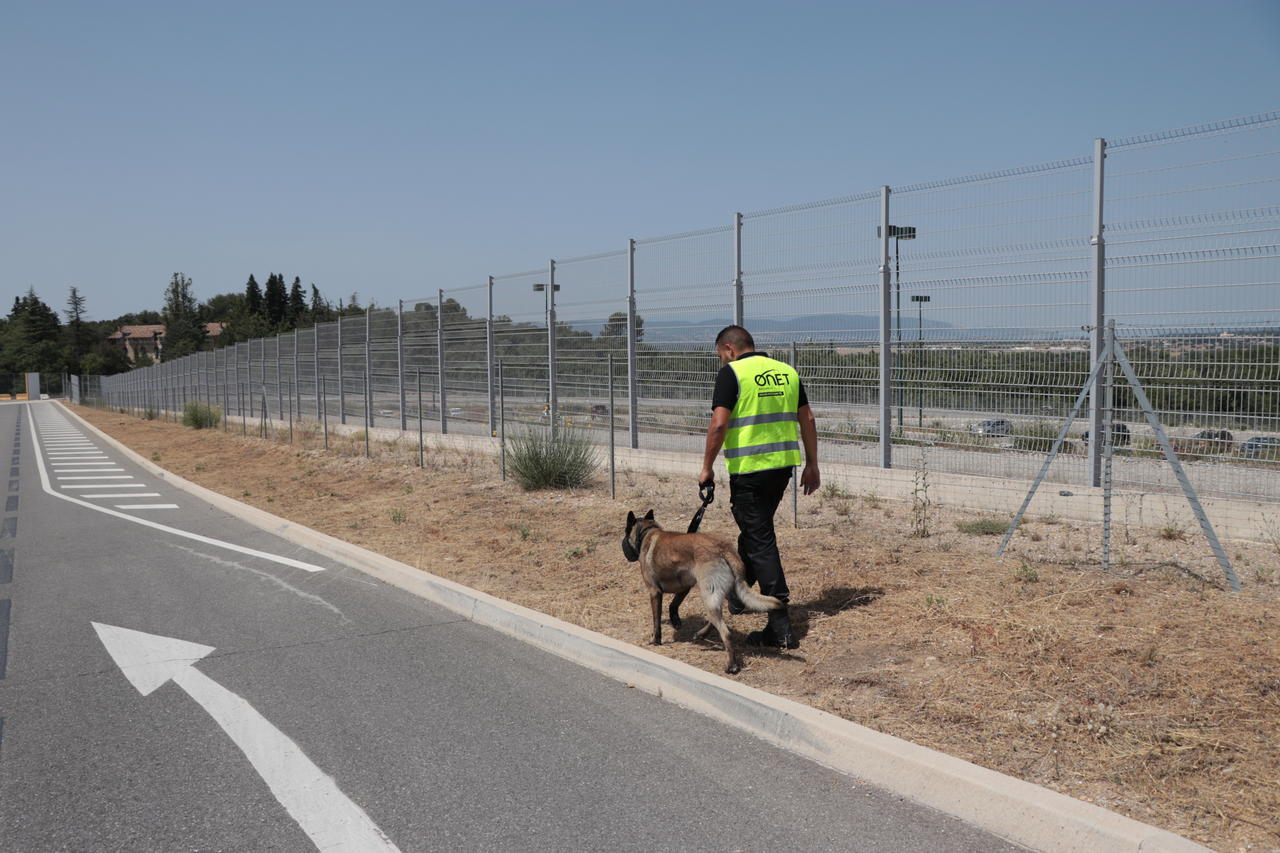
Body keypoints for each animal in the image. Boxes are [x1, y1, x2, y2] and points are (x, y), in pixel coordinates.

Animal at [619, 504, 778, 671]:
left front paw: (655, 640)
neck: (646, 532)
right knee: (721, 616)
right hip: (722, 594)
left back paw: (732, 665)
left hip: (708, 595)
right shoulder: (685, 586)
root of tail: (724, 548)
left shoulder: (654, 592)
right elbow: (674, 604)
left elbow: (656, 622)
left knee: (726, 633)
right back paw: (702, 634)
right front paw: (675, 620)